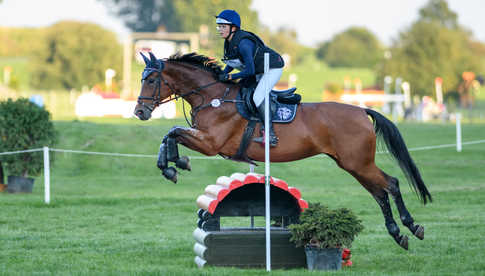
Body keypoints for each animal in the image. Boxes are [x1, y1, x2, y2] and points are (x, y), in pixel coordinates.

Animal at [133, 51, 432, 250]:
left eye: (151, 80)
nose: (139, 112)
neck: (213, 97)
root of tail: (361, 111)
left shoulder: (211, 143)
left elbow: (172, 132)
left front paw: (175, 164)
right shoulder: (206, 140)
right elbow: (169, 134)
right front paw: (173, 165)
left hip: (358, 163)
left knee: (391, 184)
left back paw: (412, 226)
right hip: (353, 164)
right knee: (379, 192)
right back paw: (399, 233)